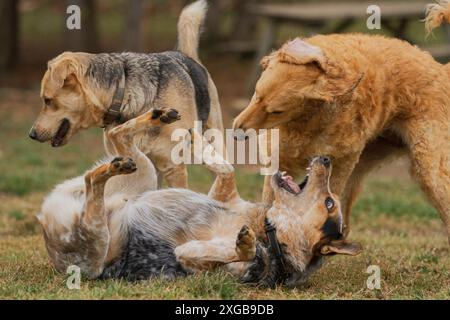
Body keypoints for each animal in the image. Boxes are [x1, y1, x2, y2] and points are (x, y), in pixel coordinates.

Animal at [29, 0, 222, 189]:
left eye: (47, 100)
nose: (31, 135)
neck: (123, 94)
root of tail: (186, 55)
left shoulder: (173, 168)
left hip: (213, 142)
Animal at [37, 108, 362, 288]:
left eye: (330, 203)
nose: (326, 159)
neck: (270, 229)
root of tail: (45, 218)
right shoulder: (223, 194)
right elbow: (228, 169)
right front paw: (200, 146)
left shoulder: (193, 258)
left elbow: (236, 253)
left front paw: (246, 246)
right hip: (145, 174)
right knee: (117, 134)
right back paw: (156, 116)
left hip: (95, 248)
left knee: (94, 182)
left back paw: (112, 168)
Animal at [234, 1, 450, 242]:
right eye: (256, 93)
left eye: (276, 111)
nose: (237, 133)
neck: (307, 120)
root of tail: (441, 69)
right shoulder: (278, 162)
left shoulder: (337, 167)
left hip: (431, 173)